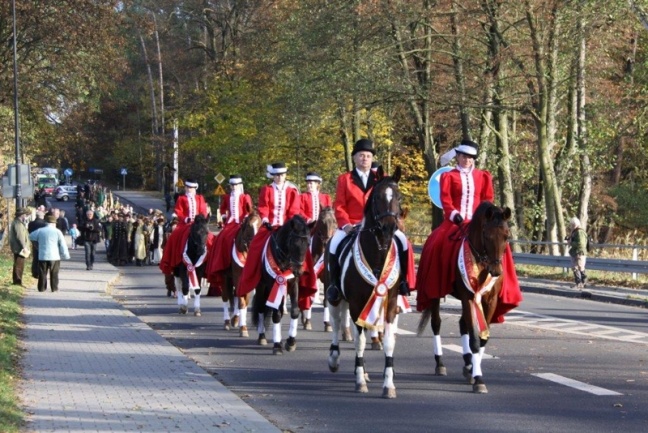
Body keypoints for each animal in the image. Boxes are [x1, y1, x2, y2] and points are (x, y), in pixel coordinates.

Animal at [251, 215, 312, 354]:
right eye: (293, 243)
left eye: (308, 244)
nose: (298, 271)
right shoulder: (273, 284)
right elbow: (276, 314)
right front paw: (277, 345)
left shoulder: (293, 284)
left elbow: (294, 311)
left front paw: (291, 342)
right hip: (261, 287)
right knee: (261, 308)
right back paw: (262, 337)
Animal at [326, 165, 408, 398]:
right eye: (378, 196)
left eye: (398, 196)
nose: (389, 227)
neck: (378, 252)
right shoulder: (356, 303)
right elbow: (358, 340)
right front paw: (360, 380)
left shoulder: (390, 301)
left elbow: (388, 341)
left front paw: (388, 385)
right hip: (334, 298)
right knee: (336, 323)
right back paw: (335, 359)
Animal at [418, 201, 512, 394]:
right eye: (487, 235)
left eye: (506, 236)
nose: (496, 271)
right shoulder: (468, 297)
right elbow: (475, 338)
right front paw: (478, 379)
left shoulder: (490, 301)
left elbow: (483, 337)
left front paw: (473, 370)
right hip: (435, 293)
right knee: (436, 323)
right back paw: (440, 364)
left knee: (462, 324)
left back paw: (468, 364)